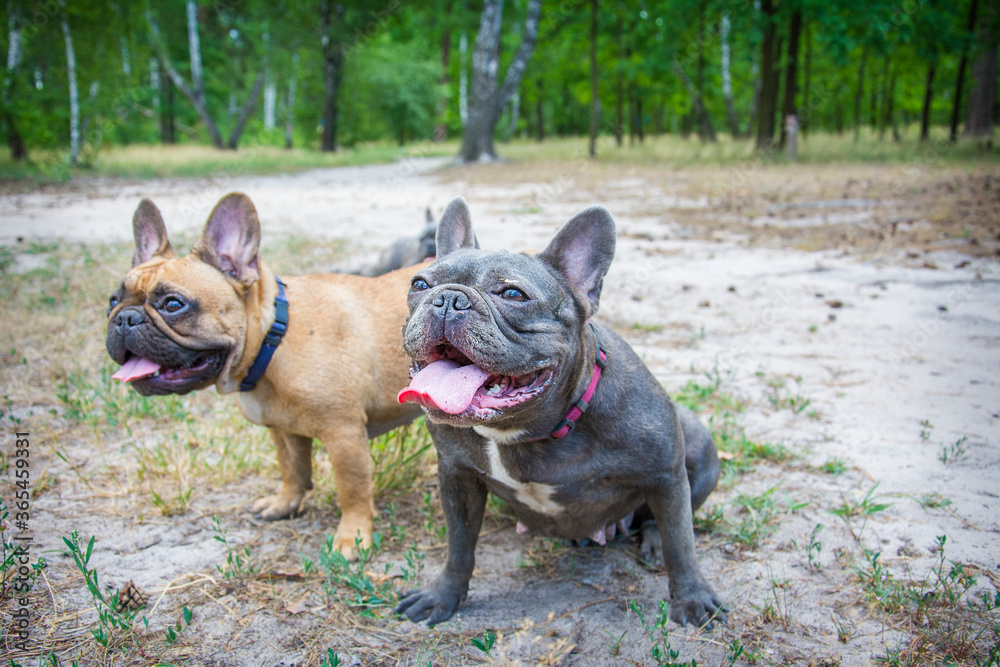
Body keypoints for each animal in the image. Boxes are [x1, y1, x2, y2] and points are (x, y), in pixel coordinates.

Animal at [106, 193, 422, 560]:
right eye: (112, 300)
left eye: (173, 304)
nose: (124, 319)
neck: (274, 338)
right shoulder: (283, 429)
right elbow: (292, 470)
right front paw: (284, 505)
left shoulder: (343, 435)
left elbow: (352, 489)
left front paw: (352, 538)